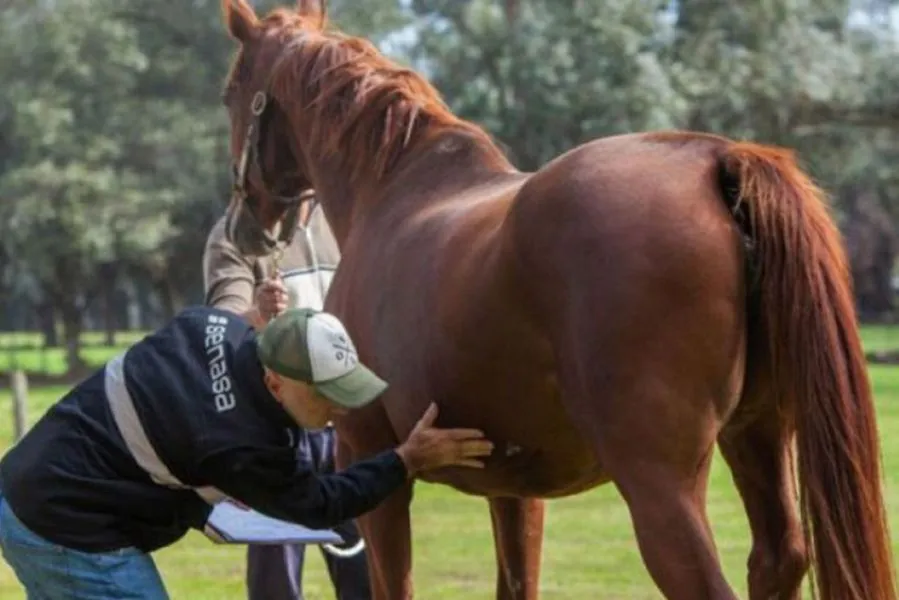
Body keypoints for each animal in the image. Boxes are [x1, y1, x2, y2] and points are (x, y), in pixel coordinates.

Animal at [217, 1, 897, 599]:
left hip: (660, 484)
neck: (393, 191)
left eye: (231, 90)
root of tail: (716, 161)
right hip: (758, 434)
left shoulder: (374, 463)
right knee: (775, 561)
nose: (246, 226)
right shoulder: (516, 490)